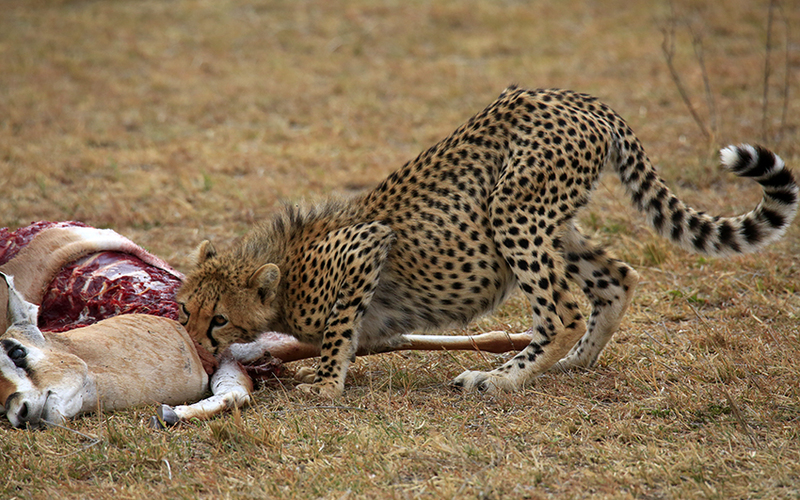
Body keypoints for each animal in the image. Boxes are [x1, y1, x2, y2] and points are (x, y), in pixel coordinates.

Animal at [178, 87, 796, 398]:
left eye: (219, 319)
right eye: (185, 310)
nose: (195, 345)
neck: (280, 267)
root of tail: (582, 98)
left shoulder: (364, 247)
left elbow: (336, 332)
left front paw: (326, 383)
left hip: (512, 213)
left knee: (563, 309)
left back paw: (499, 378)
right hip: (551, 219)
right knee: (618, 278)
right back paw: (576, 361)